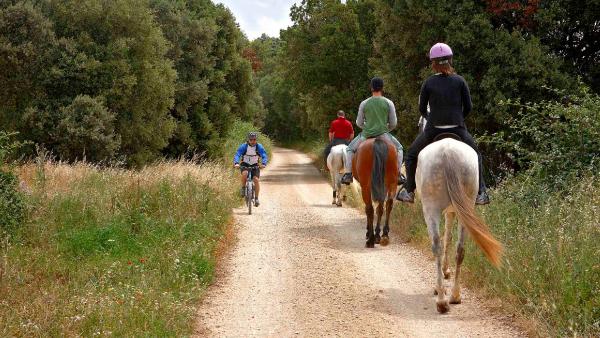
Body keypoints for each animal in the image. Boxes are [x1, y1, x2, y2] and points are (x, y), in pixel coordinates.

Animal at [412, 136, 502, 312]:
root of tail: (448, 153)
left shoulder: (449, 211)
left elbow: (446, 237)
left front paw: (444, 273)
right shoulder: (453, 210)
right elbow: (449, 238)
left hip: (431, 208)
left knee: (437, 246)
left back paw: (441, 299)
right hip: (465, 208)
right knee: (460, 249)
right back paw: (454, 296)